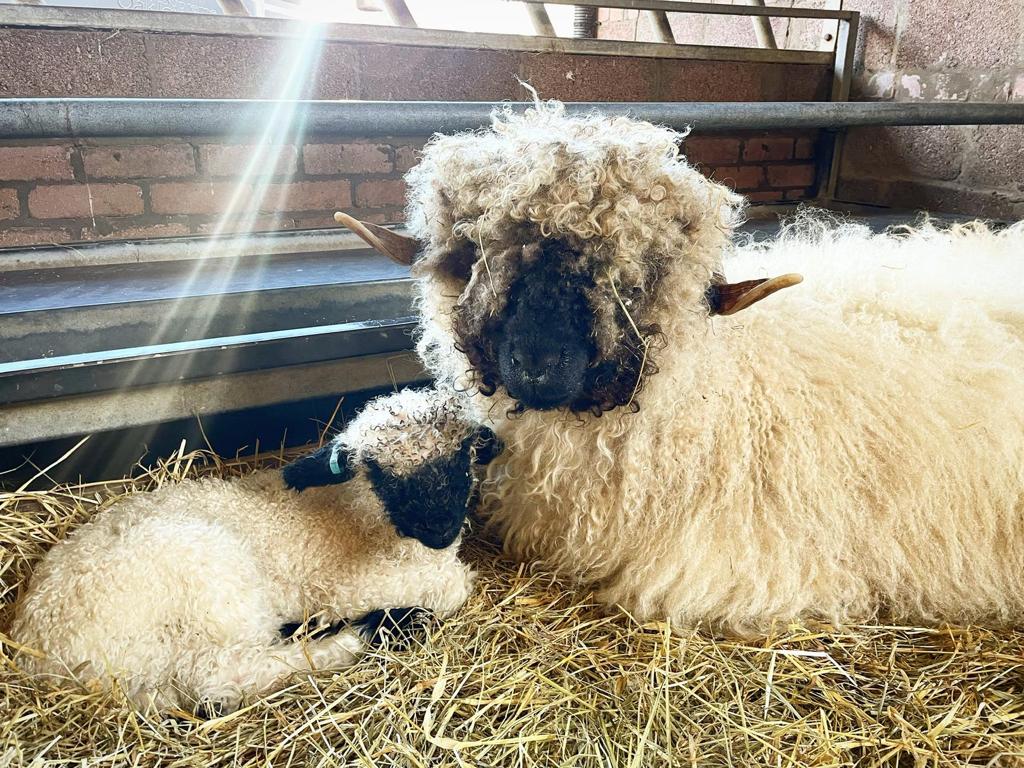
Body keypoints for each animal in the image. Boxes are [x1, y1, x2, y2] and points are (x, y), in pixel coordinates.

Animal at [11, 388, 484, 712]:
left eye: (462, 457)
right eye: (381, 474)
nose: (441, 530)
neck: (359, 510)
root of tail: (42, 657)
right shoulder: (346, 585)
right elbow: (453, 588)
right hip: (210, 586)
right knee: (222, 674)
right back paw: (372, 632)